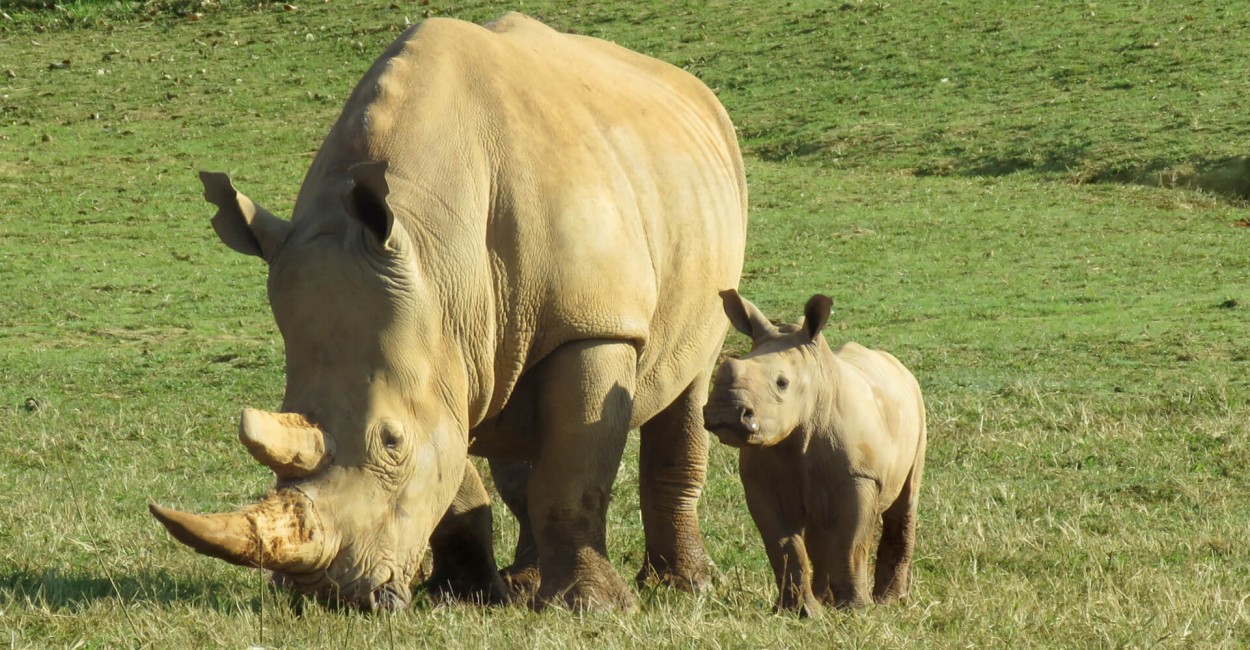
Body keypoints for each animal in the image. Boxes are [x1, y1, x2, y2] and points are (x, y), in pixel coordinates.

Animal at [151, 12, 745, 612]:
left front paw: (591, 606)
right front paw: (465, 595)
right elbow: (455, 469)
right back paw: (524, 583)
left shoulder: (592, 327)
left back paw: (684, 585)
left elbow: (573, 475)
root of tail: (696, 92)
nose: (330, 598)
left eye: (391, 441)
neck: (438, 259)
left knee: (688, 381)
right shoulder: (439, 346)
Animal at [710, 290, 925, 615]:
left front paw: (856, 610)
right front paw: (798, 613)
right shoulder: (760, 482)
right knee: (817, 532)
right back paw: (825, 601)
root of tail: (899, 367)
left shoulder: (860, 475)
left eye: (782, 383)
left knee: (904, 502)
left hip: (918, 407)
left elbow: (851, 542)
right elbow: (783, 546)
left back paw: (890, 602)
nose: (726, 412)